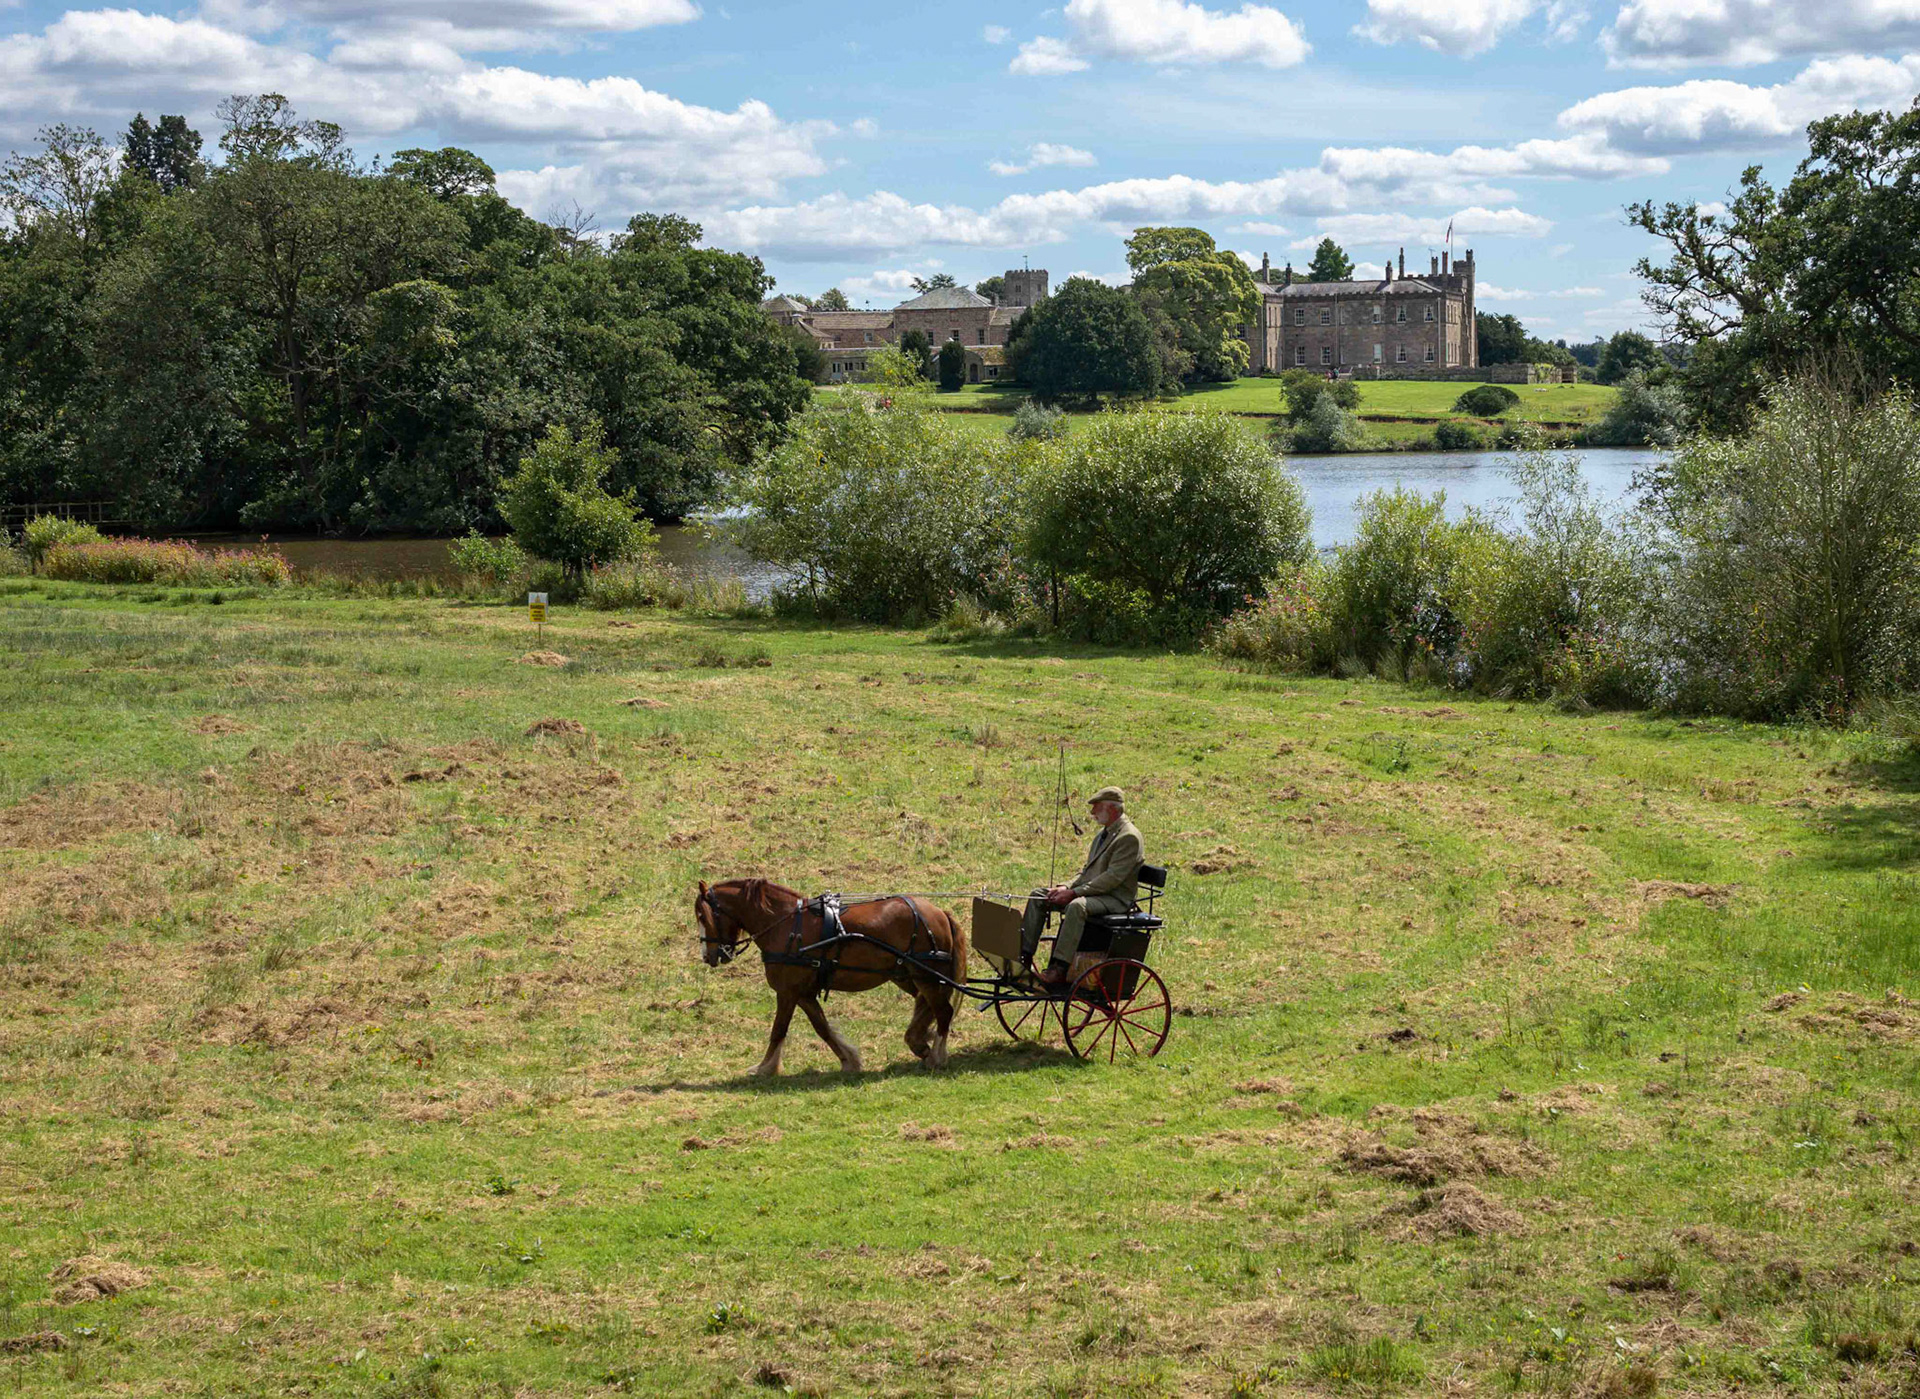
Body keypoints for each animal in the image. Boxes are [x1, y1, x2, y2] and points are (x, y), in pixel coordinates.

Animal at [695, 879, 966, 1077]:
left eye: (701, 916)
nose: (708, 956)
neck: (786, 925)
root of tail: (940, 913)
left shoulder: (787, 992)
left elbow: (778, 1030)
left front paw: (765, 1067)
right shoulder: (803, 994)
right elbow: (822, 1028)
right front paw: (849, 1060)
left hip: (925, 976)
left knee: (944, 1011)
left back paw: (938, 1055)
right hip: (909, 976)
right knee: (927, 1005)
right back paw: (919, 1042)